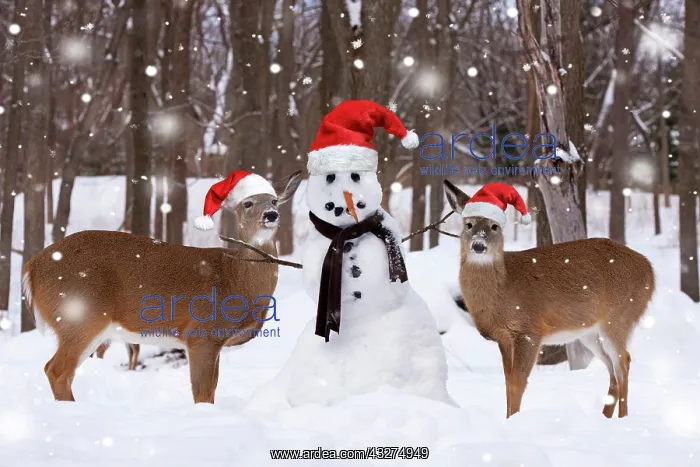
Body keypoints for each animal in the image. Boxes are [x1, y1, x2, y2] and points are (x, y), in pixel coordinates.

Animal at [23, 170, 301, 404]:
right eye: (248, 203)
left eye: (274, 200)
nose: (271, 215)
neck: (235, 278)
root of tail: (30, 267)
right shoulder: (201, 333)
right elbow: (202, 393)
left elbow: (211, 389)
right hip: (80, 314)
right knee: (57, 370)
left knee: (60, 371)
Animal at [443, 180, 655, 419]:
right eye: (468, 224)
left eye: (494, 226)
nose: (478, 245)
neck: (502, 291)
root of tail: (650, 270)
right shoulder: (504, 338)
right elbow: (507, 382)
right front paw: (507, 419)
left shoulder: (529, 331)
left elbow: (518, 383)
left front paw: (513, 420)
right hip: (590, 332)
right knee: (611, 367)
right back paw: (604, 417)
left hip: (619, 317)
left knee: (624, 362)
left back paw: (622, 418)